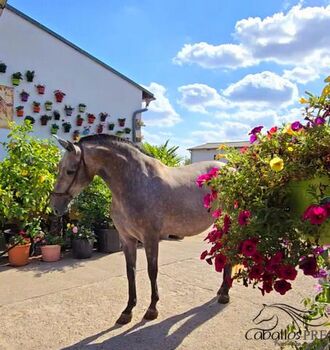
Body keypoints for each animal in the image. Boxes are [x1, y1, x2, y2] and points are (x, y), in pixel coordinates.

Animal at [51, 135, 232, 324]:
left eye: (70, 171)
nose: (55, 207)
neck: (135, 183)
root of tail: (233, 169)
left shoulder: (150, 238)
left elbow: (152, 271)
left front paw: (152, 309)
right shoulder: (126, 239)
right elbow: (130, 272)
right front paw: (128, 310)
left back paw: (224, 294)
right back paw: (222, 290)